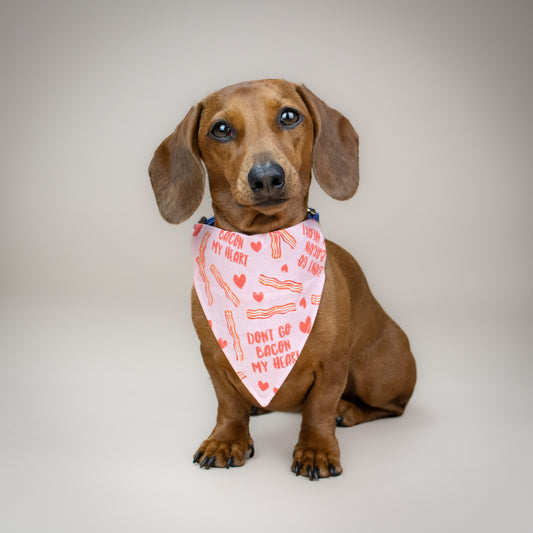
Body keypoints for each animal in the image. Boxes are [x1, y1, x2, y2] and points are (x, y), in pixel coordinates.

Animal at [149, 80, 416, 482]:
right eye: (220, 129)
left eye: (290, 115)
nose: (265, 177)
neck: (264, 243)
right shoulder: (213, 357)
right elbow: (228, 404)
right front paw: (226, 440)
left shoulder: (333, 363)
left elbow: (320, 408)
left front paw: (316, 449)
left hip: (375, 376)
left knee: (392, 407)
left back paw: (349, 411)